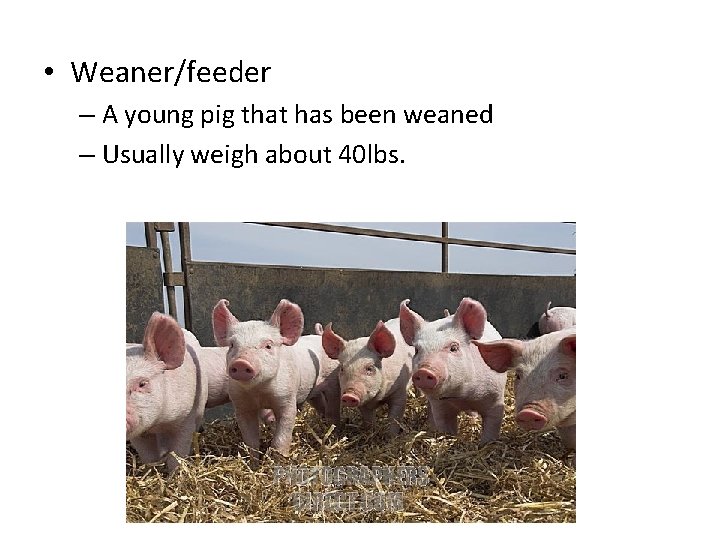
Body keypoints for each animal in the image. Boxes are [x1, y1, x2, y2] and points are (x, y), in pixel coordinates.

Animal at [126, 313, 208, 472]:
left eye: (142, 383)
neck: (158, 423)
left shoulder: (186, 417)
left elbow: (178, 453)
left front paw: (174, 475)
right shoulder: (138, 435)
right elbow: (149, 457)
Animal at [212, 299, 341, 459]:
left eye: (268, 345)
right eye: (232, 345)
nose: (241, 363)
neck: (259, 392)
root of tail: (320, 335)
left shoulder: (287, 398)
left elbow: (282, 436)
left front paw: (278, 458)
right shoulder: (241, 405)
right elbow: (251, 441)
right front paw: (254, 462)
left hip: (333, 381)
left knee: (333, 408)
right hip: (312, 392)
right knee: (320, 404)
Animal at [399, 298, 507, 445]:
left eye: (454, 347)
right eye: (417, 350)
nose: (424, 371)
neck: (462, 396)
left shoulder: (495, 399)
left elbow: (492, 426)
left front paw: (485, 444)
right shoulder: (440, 406)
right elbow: (445, 427)